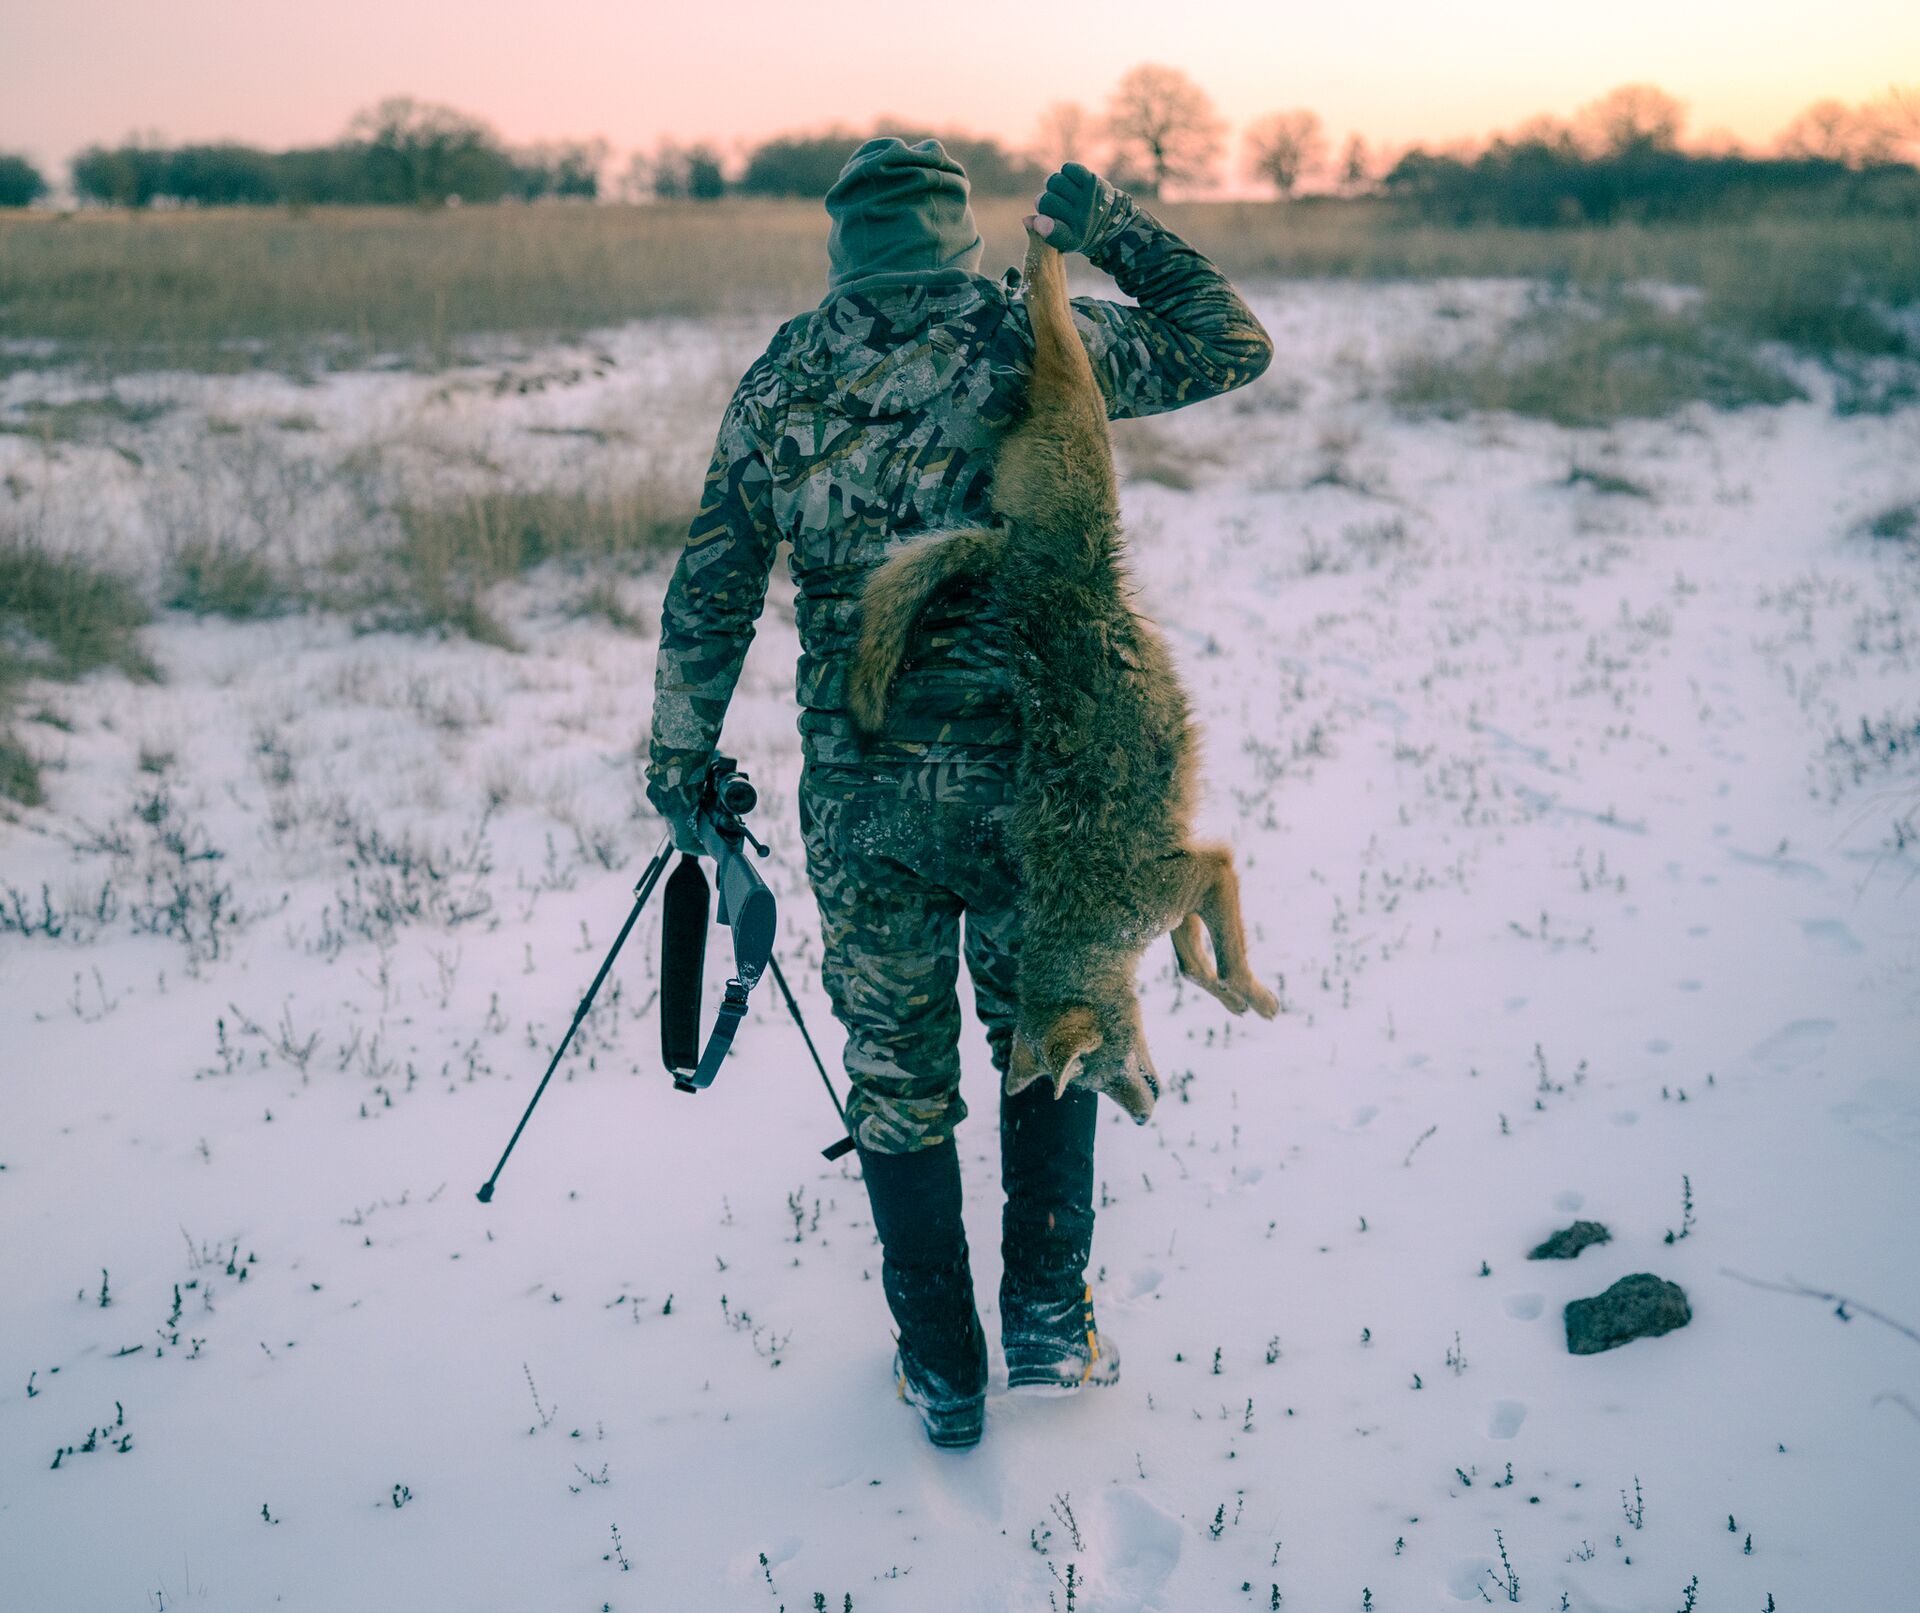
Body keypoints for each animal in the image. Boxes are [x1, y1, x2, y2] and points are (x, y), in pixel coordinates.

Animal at [848, 229, 1278, 1123]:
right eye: (1097, 1085)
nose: (1148, 1111)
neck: (1086, 926)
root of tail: (1020, 564)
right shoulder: (1194, 871)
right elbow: (1195, 959)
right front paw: (1231, 990)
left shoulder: (1206, 869)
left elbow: (1217, 957)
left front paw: (1252, 995)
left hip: (1084, 423)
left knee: (1051, 313)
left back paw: (1046, 243)